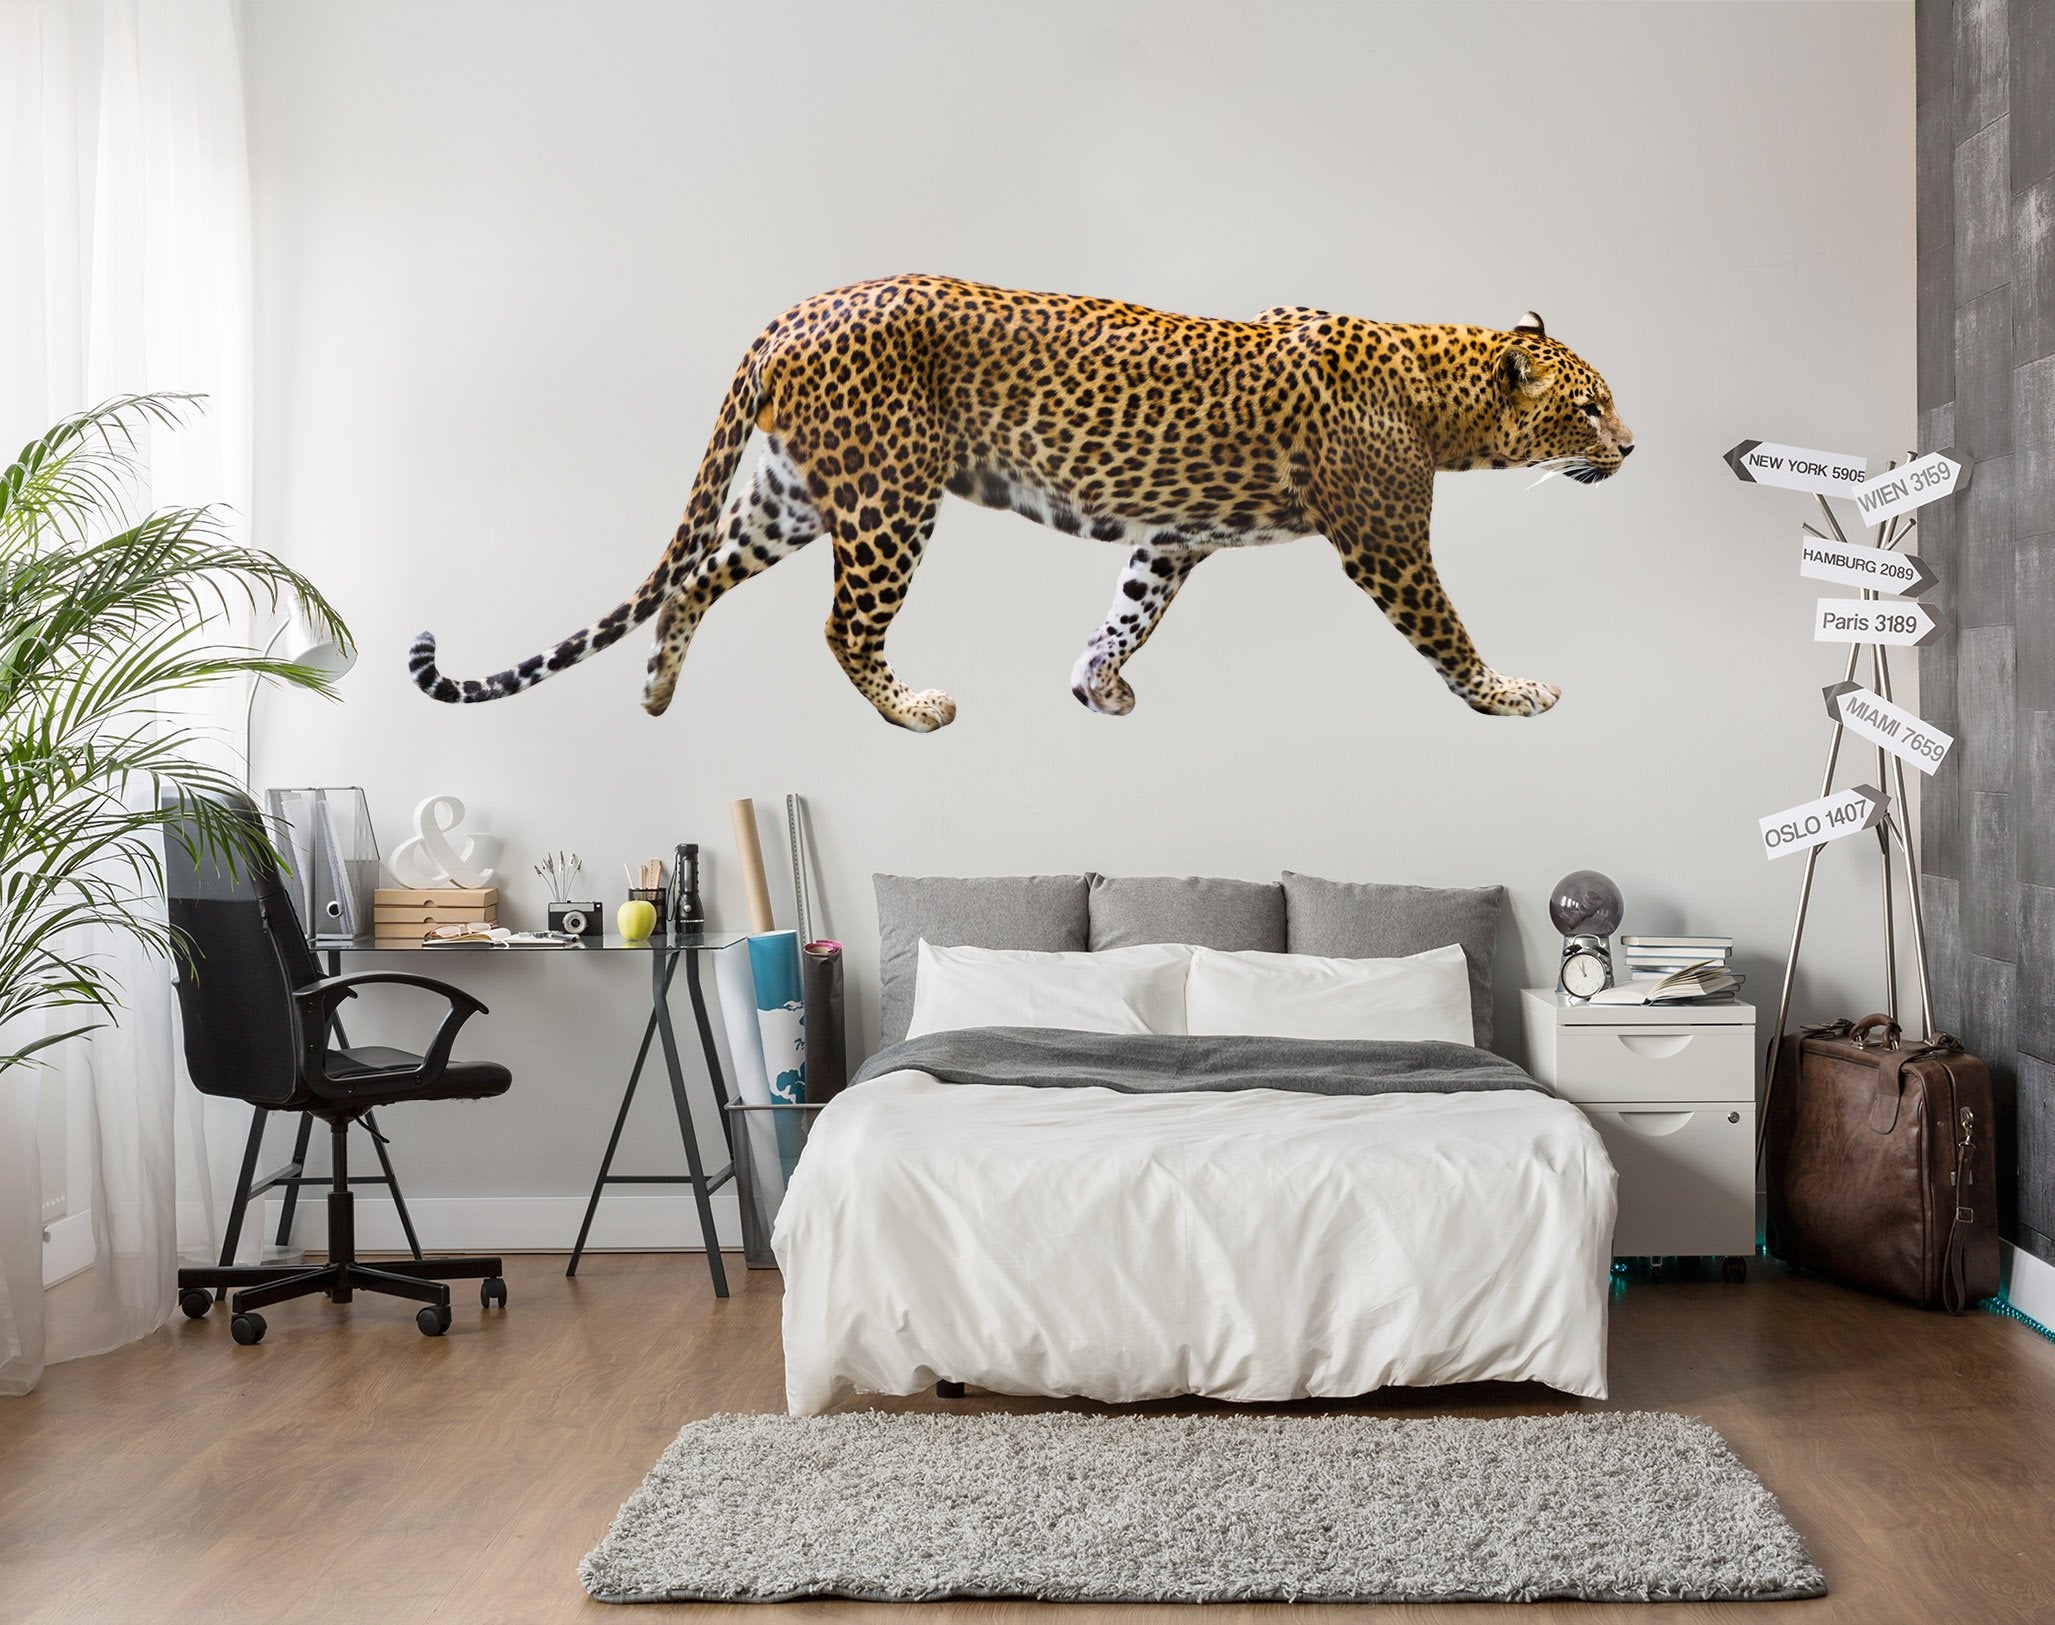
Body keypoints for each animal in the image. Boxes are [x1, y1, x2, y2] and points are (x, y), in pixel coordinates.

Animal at [409, 275, 1632, 728]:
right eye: (1587, 406)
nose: (1631, 445)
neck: (1442, 390)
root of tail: (794, 309)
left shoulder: (1171, 538)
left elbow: (1129, 610)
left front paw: (1098, 682)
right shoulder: (1384, 541)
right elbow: (1448, 629)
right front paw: (1509, 692)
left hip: (793, 494)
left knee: (696, 577)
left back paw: (660, 686)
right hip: (888, 497)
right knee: (841, 624)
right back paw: (911, 707)